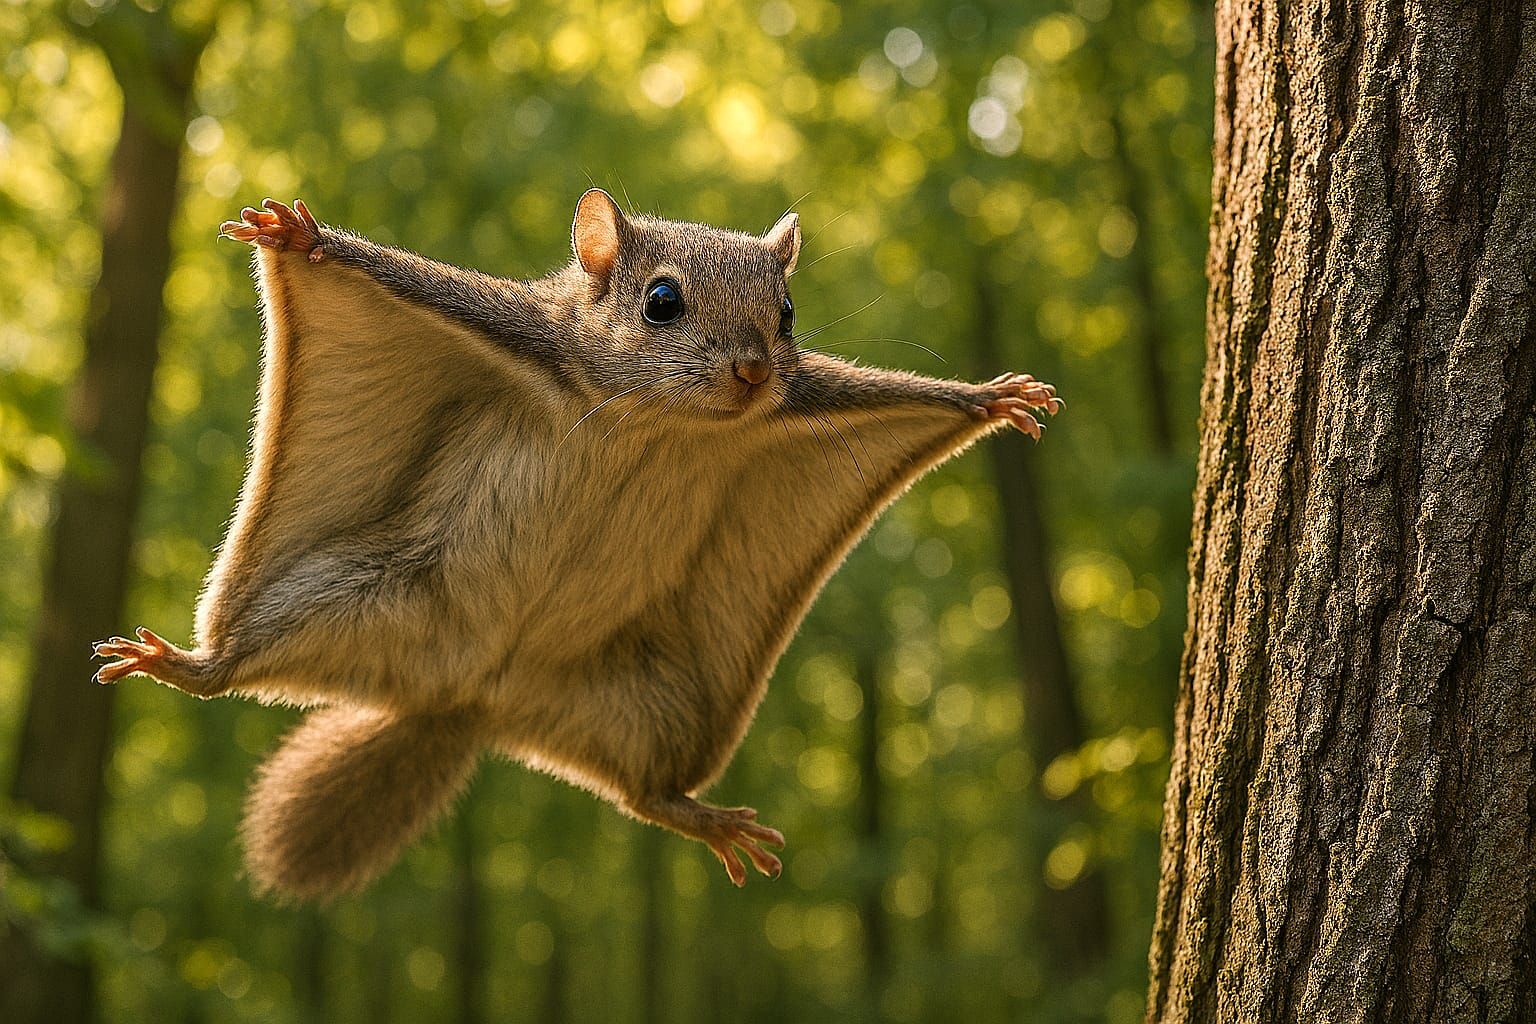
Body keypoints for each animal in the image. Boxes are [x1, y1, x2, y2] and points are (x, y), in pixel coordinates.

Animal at [92, 191, 1061, 900]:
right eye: (662, 301)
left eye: (788, 314)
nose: (755, 371)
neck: (653, 419)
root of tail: (471, 702)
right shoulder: (521, 333)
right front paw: (304, 236)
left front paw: (989, 398)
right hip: (336, 594)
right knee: (231, 668)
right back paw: (184, 663)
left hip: (657, 702)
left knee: (646, 793)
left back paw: (701, 816)